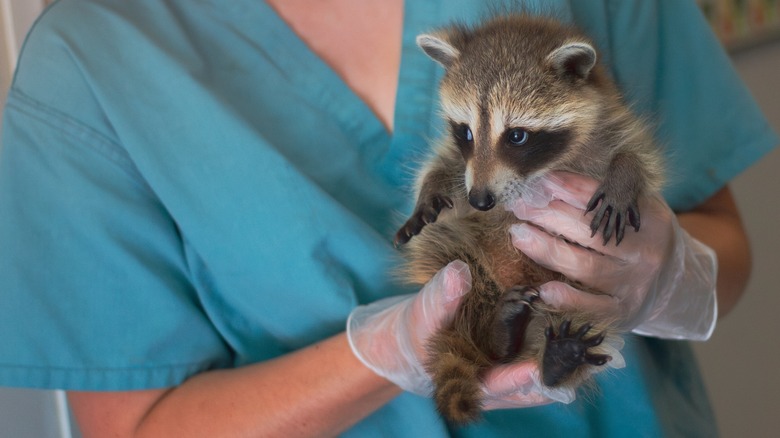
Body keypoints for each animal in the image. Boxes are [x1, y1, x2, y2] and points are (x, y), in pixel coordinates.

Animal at [396, 15, 664, 422]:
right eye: (466, 132)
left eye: (517, 136)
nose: (480, 199)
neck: (541, 170)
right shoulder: (464, 169)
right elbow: (446, 166)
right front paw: (428, 191)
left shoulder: (612, 121)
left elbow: (639, 155)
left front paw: (625, 175)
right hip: (464, 256)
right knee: (447, 248)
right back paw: (496, 333)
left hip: (573, 293)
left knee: (577, 317)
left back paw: (557, 358)